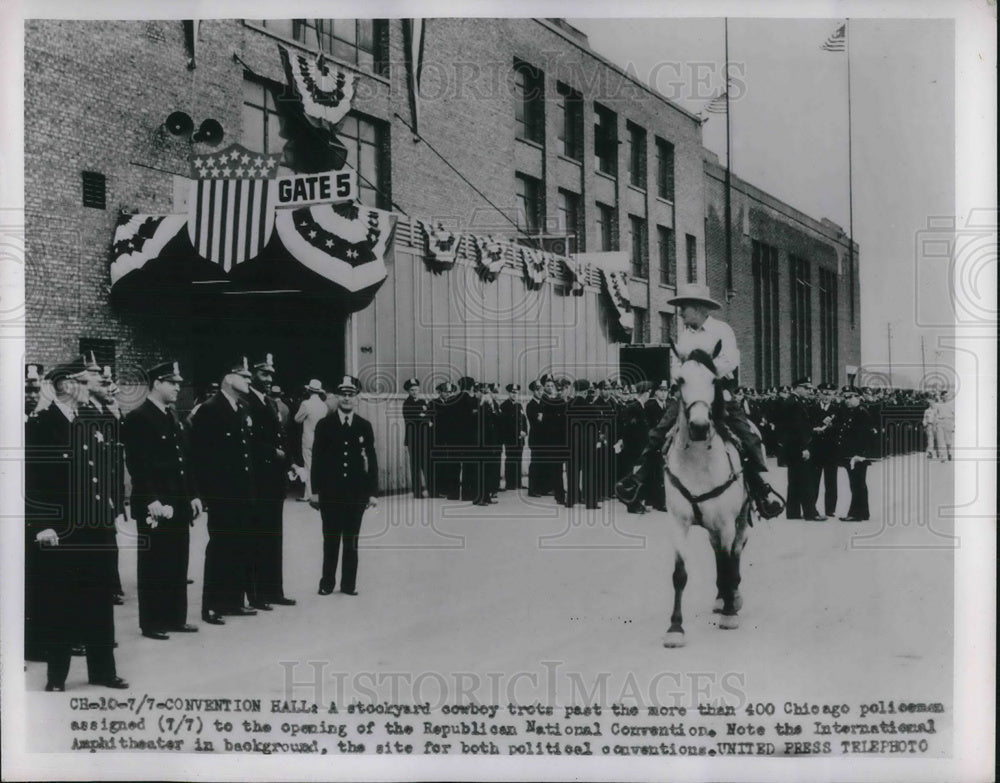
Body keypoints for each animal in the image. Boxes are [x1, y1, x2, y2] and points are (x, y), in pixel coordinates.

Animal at [664, 344, 752, 648]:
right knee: (718, 553)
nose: (700, 426)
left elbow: (727, 562)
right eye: (680, 380)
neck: (698, 463)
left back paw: (732, 597)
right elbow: (679, 574)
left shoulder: (726, 522)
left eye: (714, 380)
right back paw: (721, 597)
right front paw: (675, 628)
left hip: (740, 519)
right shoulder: (678, 522)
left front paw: (729, 614)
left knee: (734, 553)